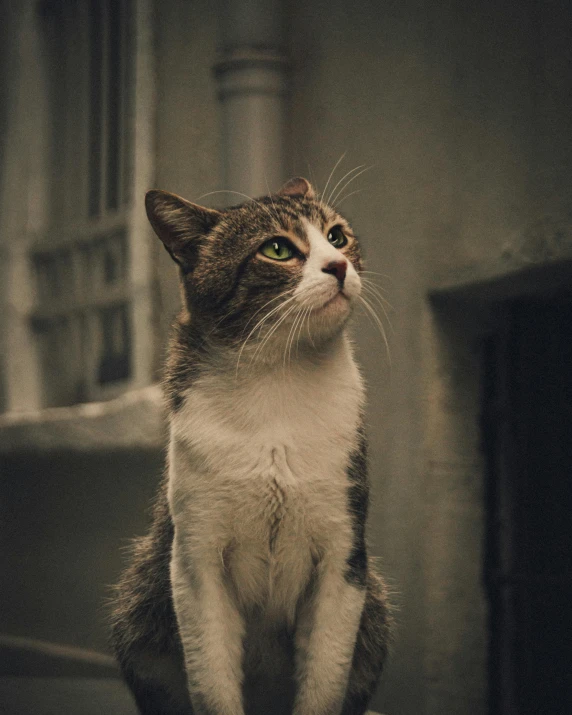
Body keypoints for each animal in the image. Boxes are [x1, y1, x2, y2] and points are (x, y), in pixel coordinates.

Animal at [109, 175, 392, 715]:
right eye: (277, 249)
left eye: (337, 236)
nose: (339, 265)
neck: (278, 379)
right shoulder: (195, 561)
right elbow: (213, 682)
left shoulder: (344, 558)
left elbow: (324, 682)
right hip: (138, 602)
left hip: (377, 608)